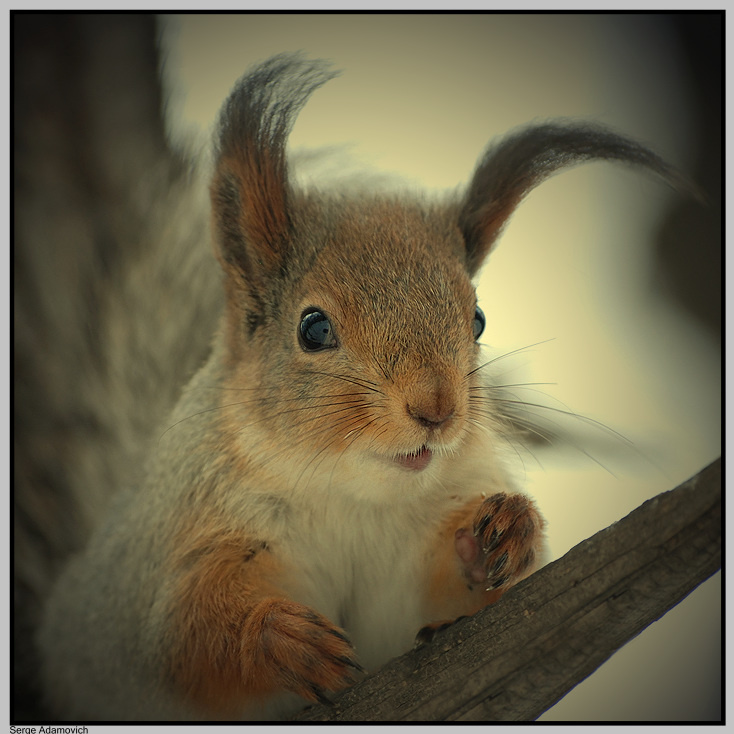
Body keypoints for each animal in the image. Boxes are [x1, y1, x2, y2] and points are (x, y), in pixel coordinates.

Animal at [32, 51, 692, 721]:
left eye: (478, 319)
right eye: (313, 327)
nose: (436, 408)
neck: (350, 496)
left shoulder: (411, 565)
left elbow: (439, 607)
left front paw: (507, 529)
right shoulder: (187, 547)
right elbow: (182, 636)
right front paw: (277, 639)